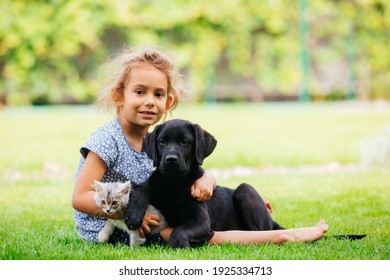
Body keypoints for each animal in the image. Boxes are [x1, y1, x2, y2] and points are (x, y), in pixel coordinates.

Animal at [125, 119, 284, 248]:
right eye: (162, 142)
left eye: (185, 142)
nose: (171, 159)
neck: (174, 184)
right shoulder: (150, 185)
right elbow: (141, 189)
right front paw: (133, 215)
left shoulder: (201, 222)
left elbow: (178, 231)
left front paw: (183, 246)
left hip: (245, 189)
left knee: (257, 233)